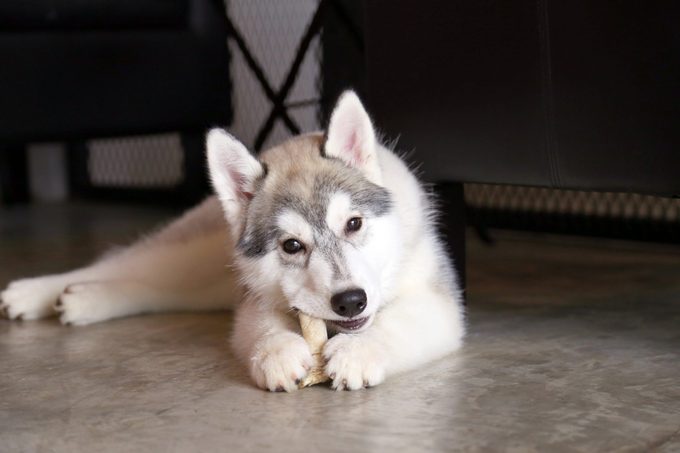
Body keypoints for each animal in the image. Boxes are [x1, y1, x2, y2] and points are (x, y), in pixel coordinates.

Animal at [0, 91, 464, 388]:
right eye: (291, 245)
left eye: (353, 224)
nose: (351, 301)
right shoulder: (254, 303)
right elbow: (260, 327)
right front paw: (277, 353)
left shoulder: (438, 302)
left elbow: (396, 322)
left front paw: (360, 351)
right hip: (197, 252)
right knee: (124, 262)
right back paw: (37, 291)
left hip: (214, 281)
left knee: (164, 290)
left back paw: (84, 300)